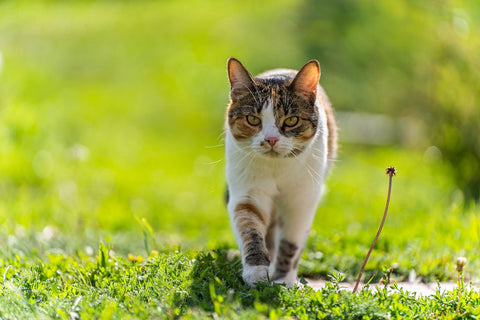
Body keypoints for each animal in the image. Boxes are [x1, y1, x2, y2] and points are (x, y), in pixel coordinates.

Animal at [225, 57, 338, 288]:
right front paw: (257, 272)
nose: (271, 139)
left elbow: (291, 244)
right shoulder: (247, 194)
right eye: (252, 119)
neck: (277, 169)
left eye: (291, 120)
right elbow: (250, 230)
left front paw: (283, 279)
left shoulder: (301, 202)